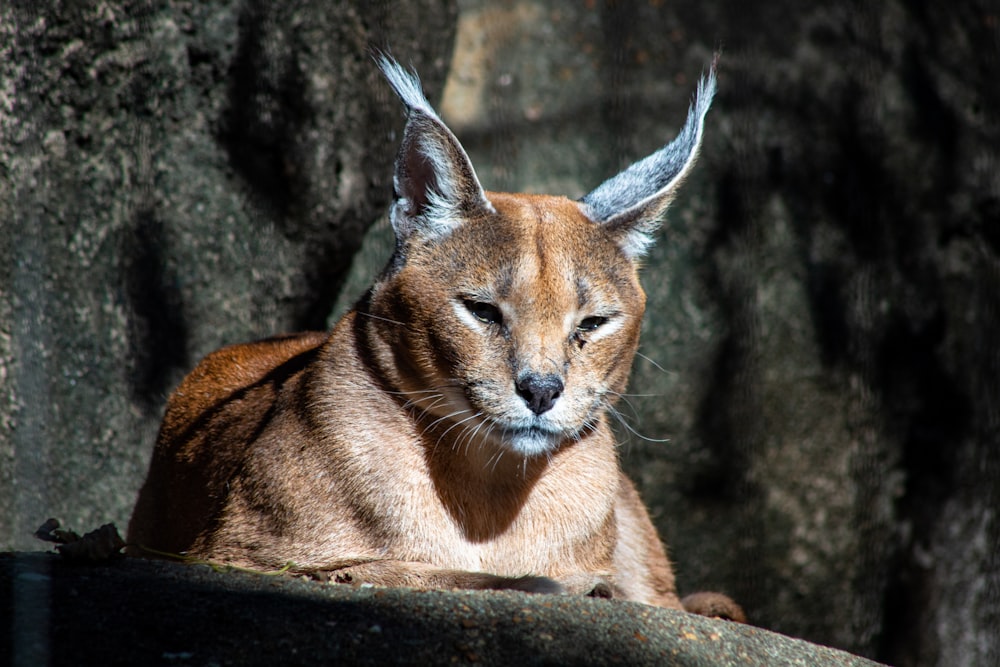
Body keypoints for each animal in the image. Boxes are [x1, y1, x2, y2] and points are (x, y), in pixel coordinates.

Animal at [129, 54, 744, 624]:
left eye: (592, 324)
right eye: (482, 311)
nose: (542, 390)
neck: (489, 489)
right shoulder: (234, 558)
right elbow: (389, 569)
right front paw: (551, 584)